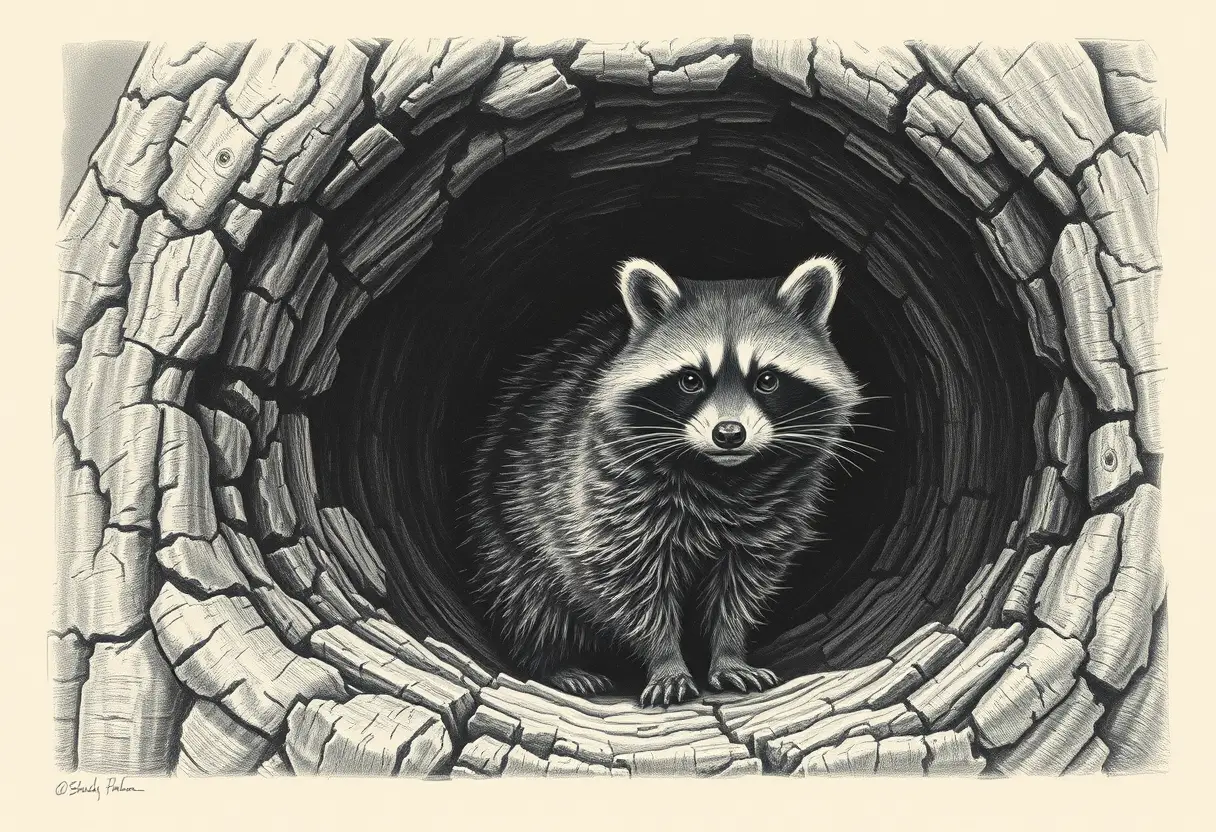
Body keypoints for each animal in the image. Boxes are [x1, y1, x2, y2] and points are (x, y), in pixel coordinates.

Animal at [465, 256, 864, 706]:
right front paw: (665, 659)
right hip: (506, 518)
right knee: (530, 599)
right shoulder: (606, 489)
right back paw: (554, 663)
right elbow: (631, 583)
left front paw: (729, 651)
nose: (729, 434)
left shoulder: (777, 508)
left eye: (767, 379)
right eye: (691, 380)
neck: (722, 474)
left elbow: (742, 584)